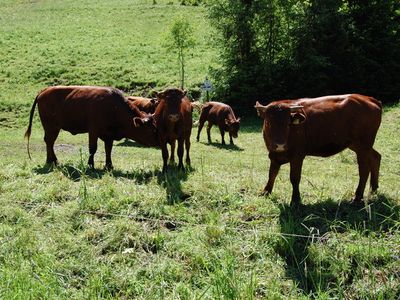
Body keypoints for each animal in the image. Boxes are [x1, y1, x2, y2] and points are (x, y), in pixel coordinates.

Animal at [23, 85, 159, 170]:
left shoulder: (109, 135)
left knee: (49, 142)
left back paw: (50, 161)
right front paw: (90, 165)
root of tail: (43, 91)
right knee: (49, 142)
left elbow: (108, 150)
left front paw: (109, 166)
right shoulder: (93, 131)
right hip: (51, 127)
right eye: (151, 130)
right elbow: (92, 149)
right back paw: (53, 161)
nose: (159, 143)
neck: (113, 108)